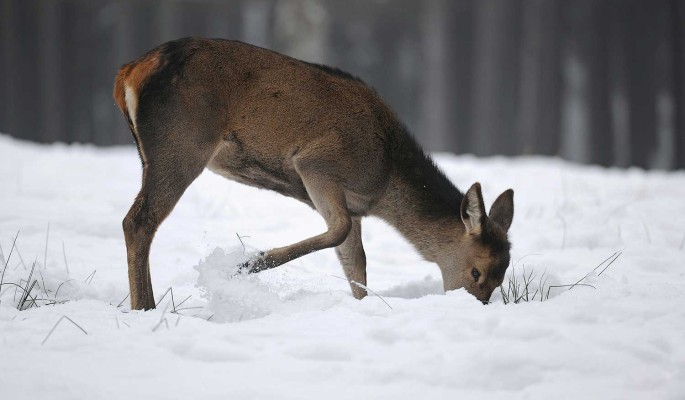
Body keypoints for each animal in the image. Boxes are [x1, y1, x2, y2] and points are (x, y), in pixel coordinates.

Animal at [112, 37, 512, 310]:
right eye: (476, 271)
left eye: (501, 276)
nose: (476, 307)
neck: (384, 183)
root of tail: (128, 73)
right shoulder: (317, 163)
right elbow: (339, 231)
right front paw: (244, 265)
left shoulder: (353, 205)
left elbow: (356, 263)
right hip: (182, 143)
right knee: (138, 220)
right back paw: (145, 307)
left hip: (152, 152)